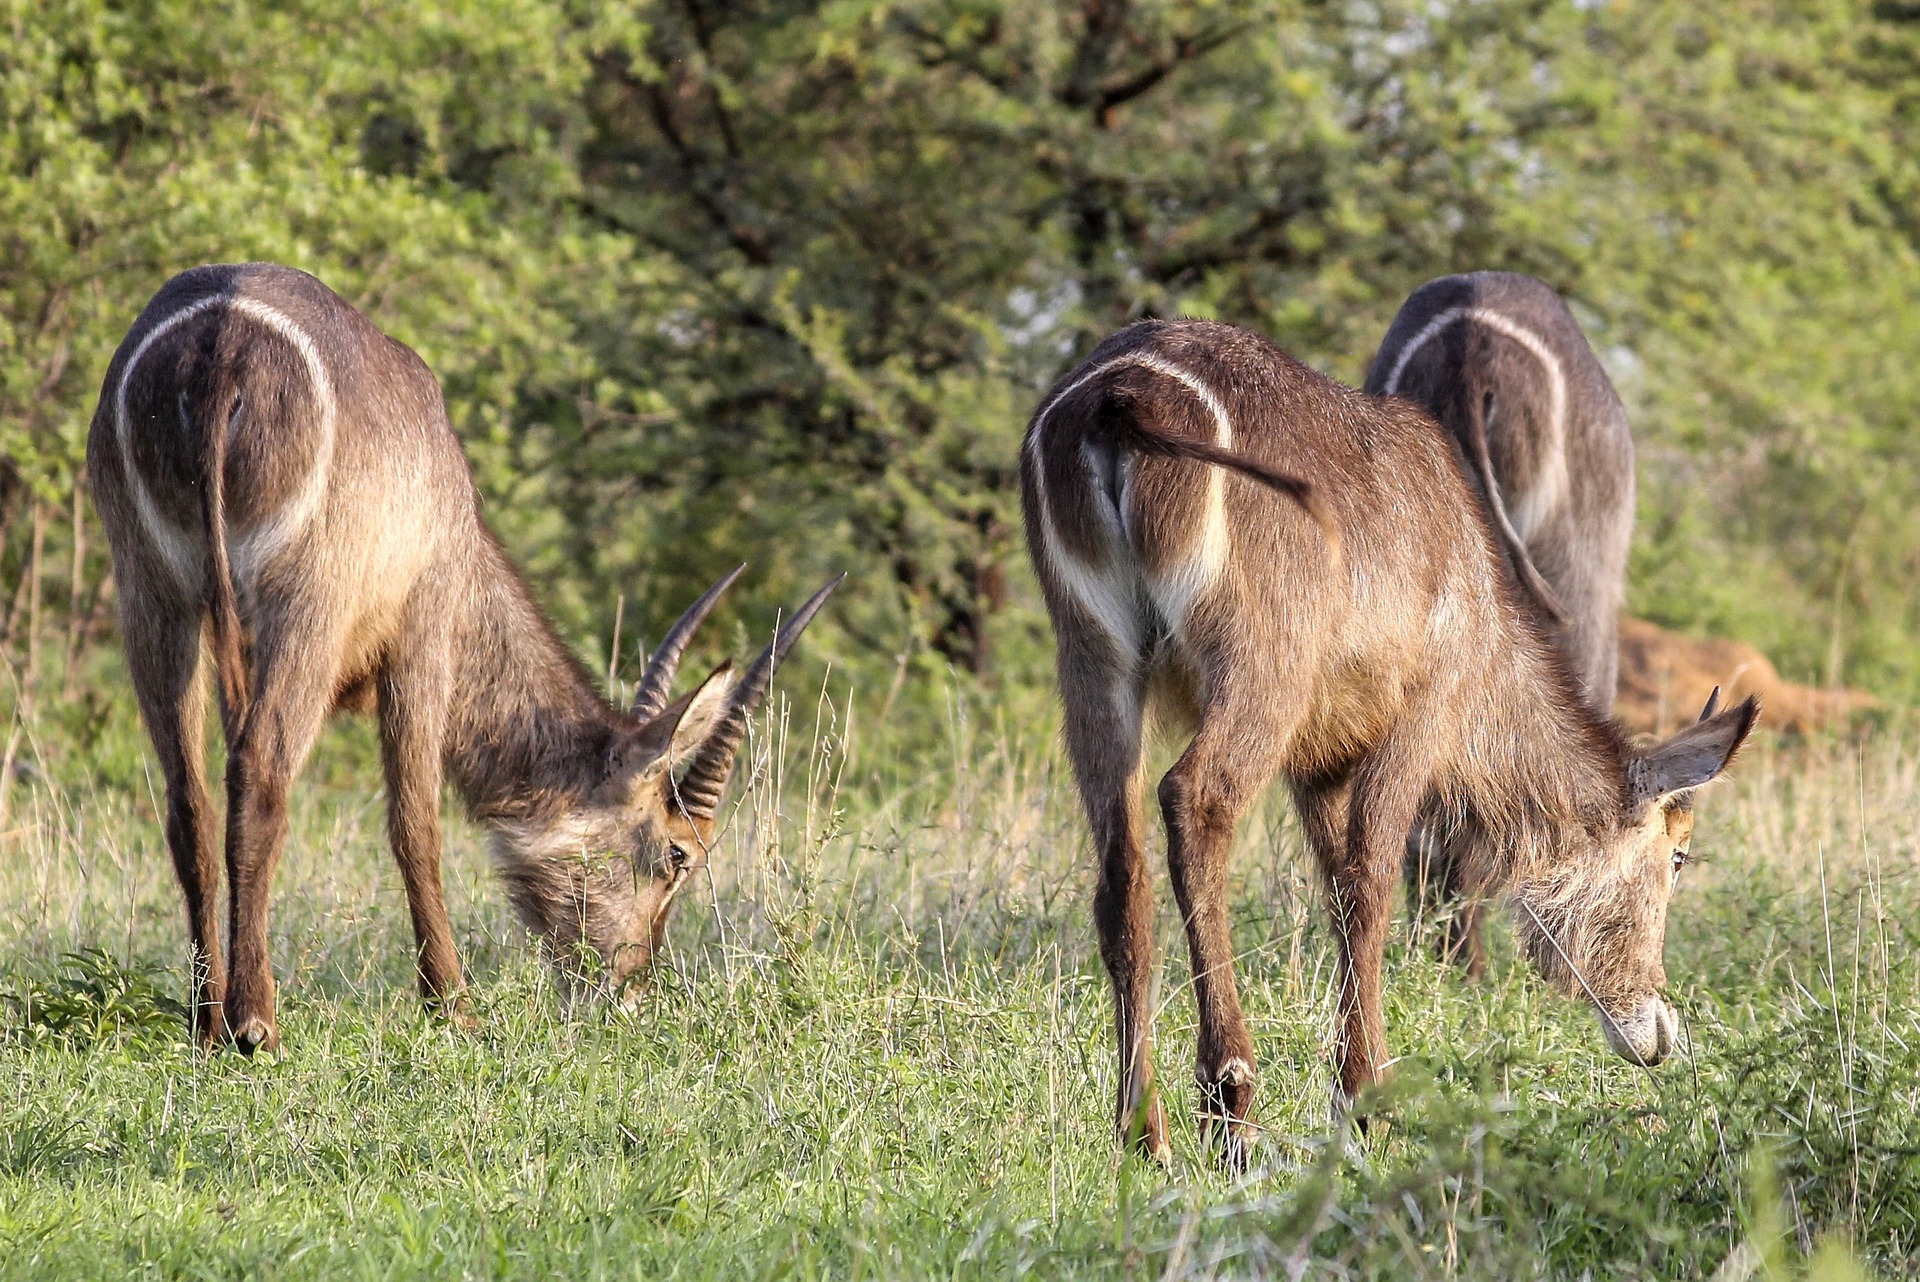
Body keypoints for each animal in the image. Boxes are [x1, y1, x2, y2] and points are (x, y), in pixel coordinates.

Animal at [88, 262, 840, 1051]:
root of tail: (221, 339)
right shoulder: (425, 628)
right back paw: (255, 1021)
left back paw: (206, 1021)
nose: (632, 994)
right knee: (261, 775)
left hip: (153, 593)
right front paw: (453, 1006)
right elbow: (416, 822)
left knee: (189, 800)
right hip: (307, 602)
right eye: (679, 854)